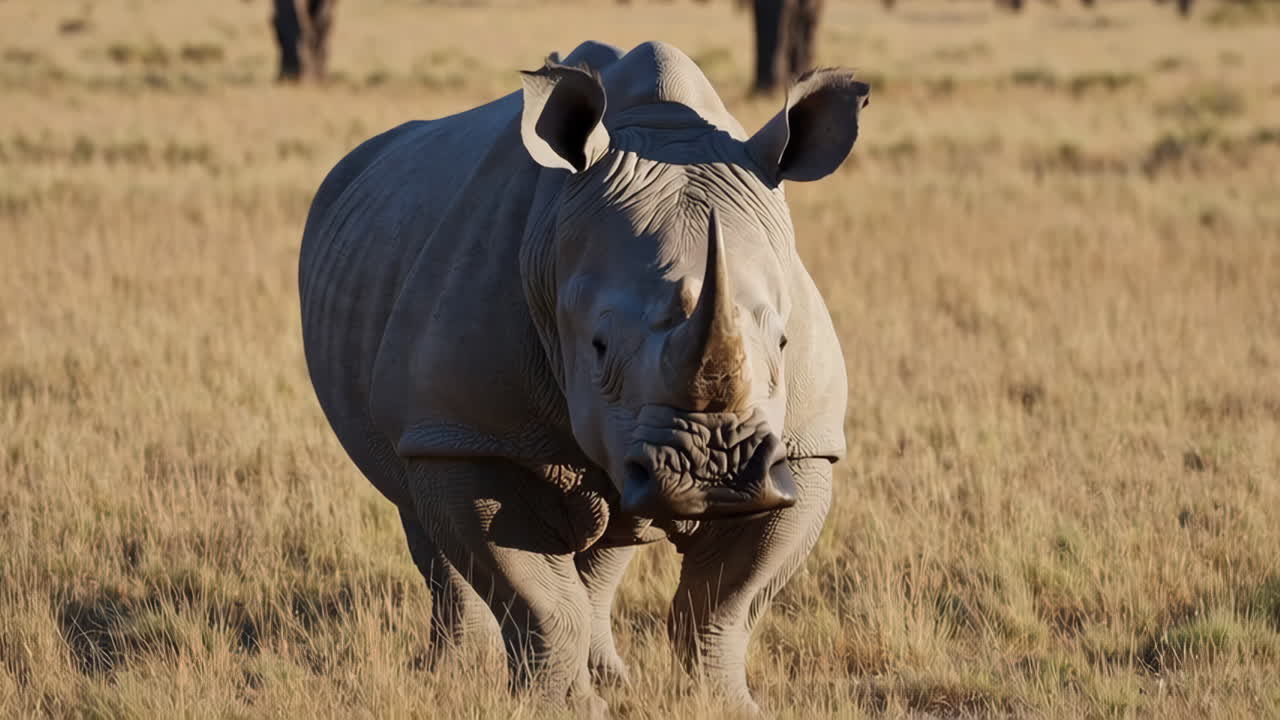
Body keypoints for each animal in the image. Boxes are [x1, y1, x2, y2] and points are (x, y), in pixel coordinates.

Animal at [299, 40, 868, 715]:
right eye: (597, 348)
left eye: (782, 342)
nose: (714, 471)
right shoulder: (467, 433)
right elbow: (543, 601)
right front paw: (558, 708)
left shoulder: (802, 448)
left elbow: (724, 602)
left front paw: (726, 707)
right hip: (424, 395)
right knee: (423, 517)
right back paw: (446, 677)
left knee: (610, 544)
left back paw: (608, 677)